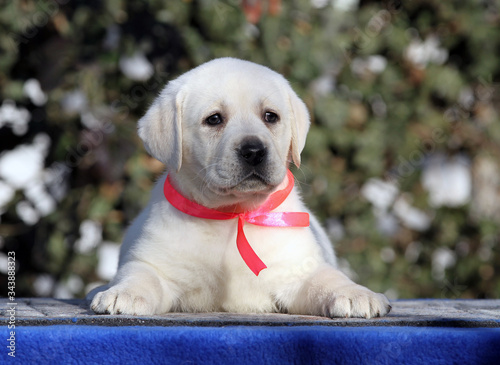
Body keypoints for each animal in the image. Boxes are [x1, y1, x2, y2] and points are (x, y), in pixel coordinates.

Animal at [89, 58, 390, 318]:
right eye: (214, 119)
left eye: (270, 116)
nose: (254, 151)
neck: (233, 214)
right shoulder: (156, 263)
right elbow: (141, 274)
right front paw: (124, 294)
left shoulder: (299, 268)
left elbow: (328, 278)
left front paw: (356, 294)